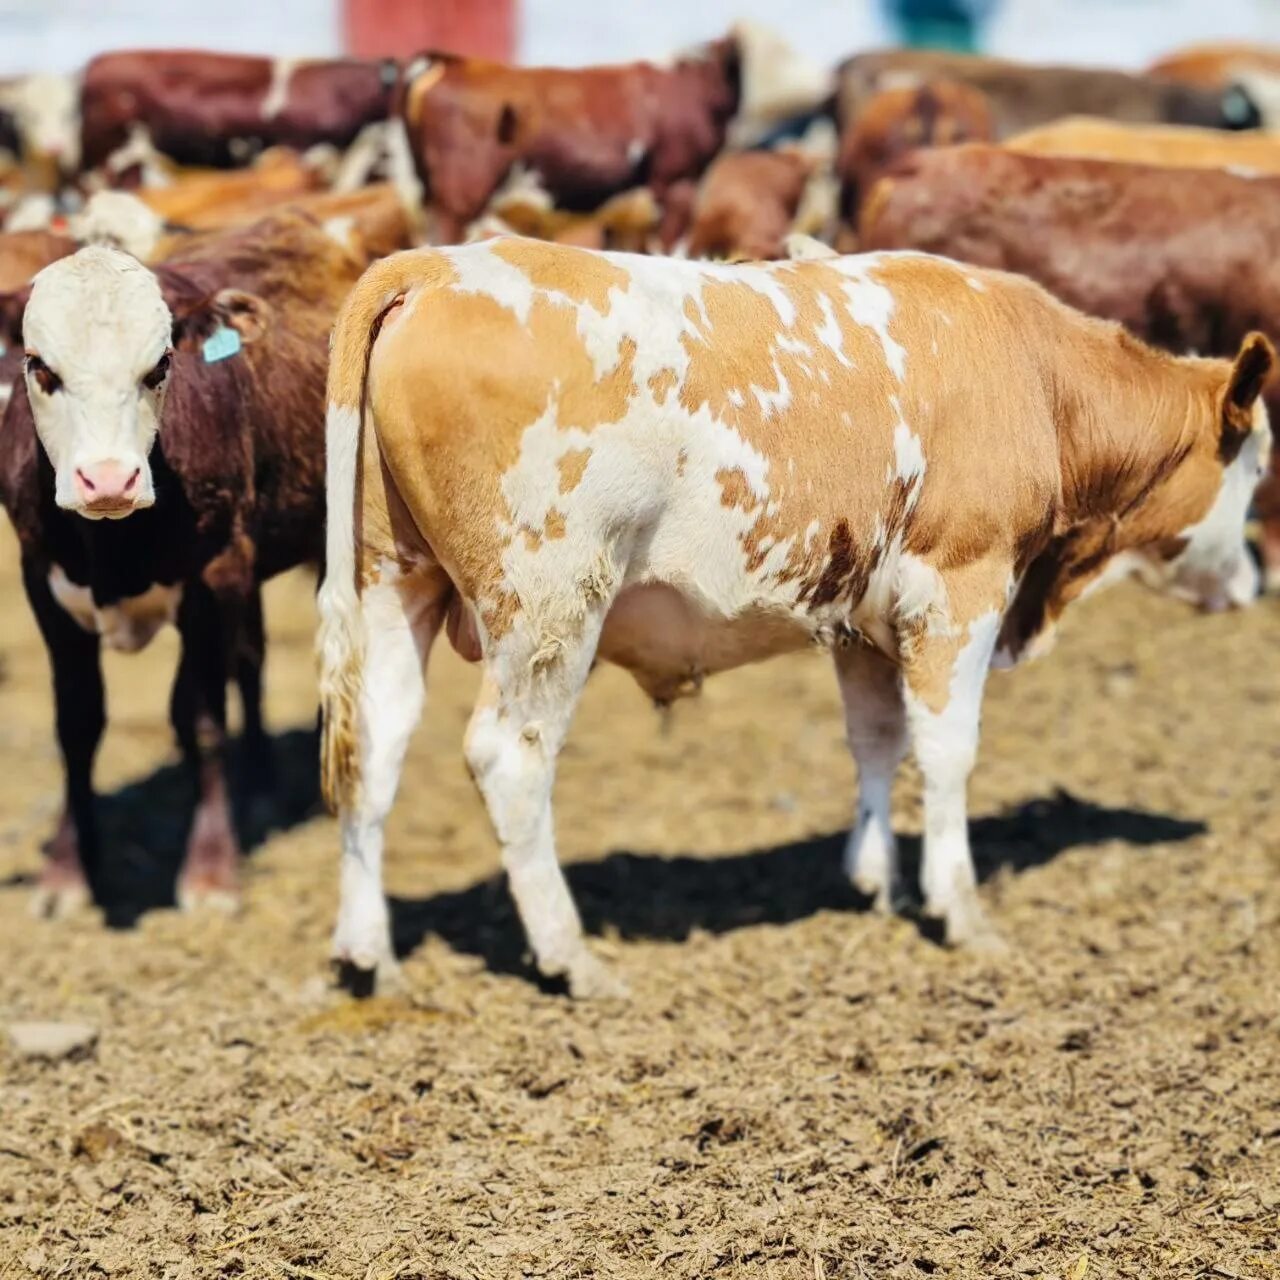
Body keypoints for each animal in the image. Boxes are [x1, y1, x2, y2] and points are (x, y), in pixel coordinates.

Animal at [314, 235, 1274, 993]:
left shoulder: (863, 619)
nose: (1253, 584)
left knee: (377, 746)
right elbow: (946, 752)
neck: (1037, 378)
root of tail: (436, 264)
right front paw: (959, 910)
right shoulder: (959, 588)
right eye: (1259, 467)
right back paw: (570, 956)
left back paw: (369, 955)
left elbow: (878, 742)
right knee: (508, 759)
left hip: (396, 580)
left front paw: (875, 882)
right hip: (550, 601)